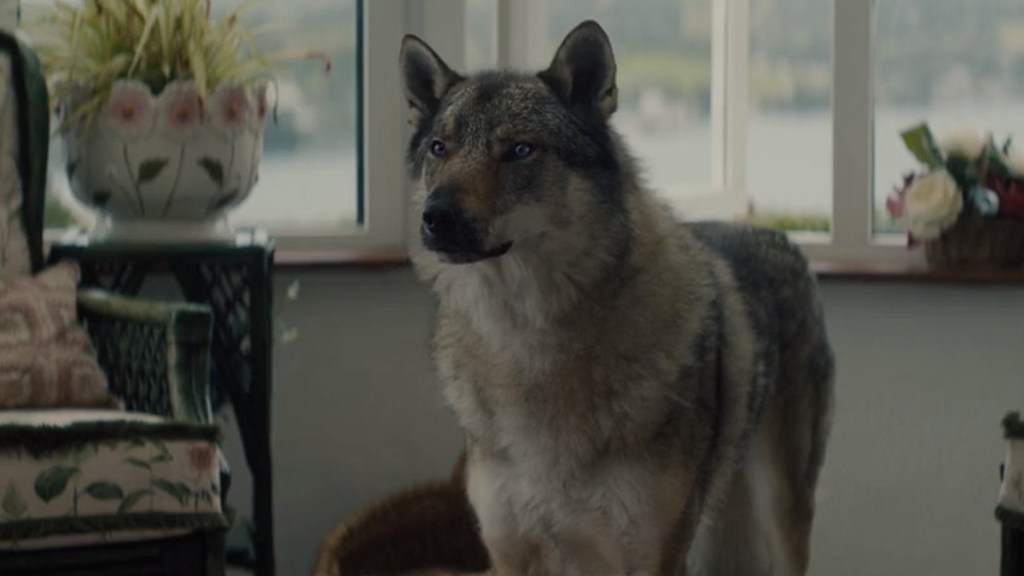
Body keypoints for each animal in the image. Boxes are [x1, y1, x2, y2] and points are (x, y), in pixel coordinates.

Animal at [400, 19, 835, 576]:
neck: (527, 343)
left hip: (782, 514)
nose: (435, 217)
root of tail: (779, 235)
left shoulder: (653, 557)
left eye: (519, 150)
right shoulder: (509, 553)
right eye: (439, 148)